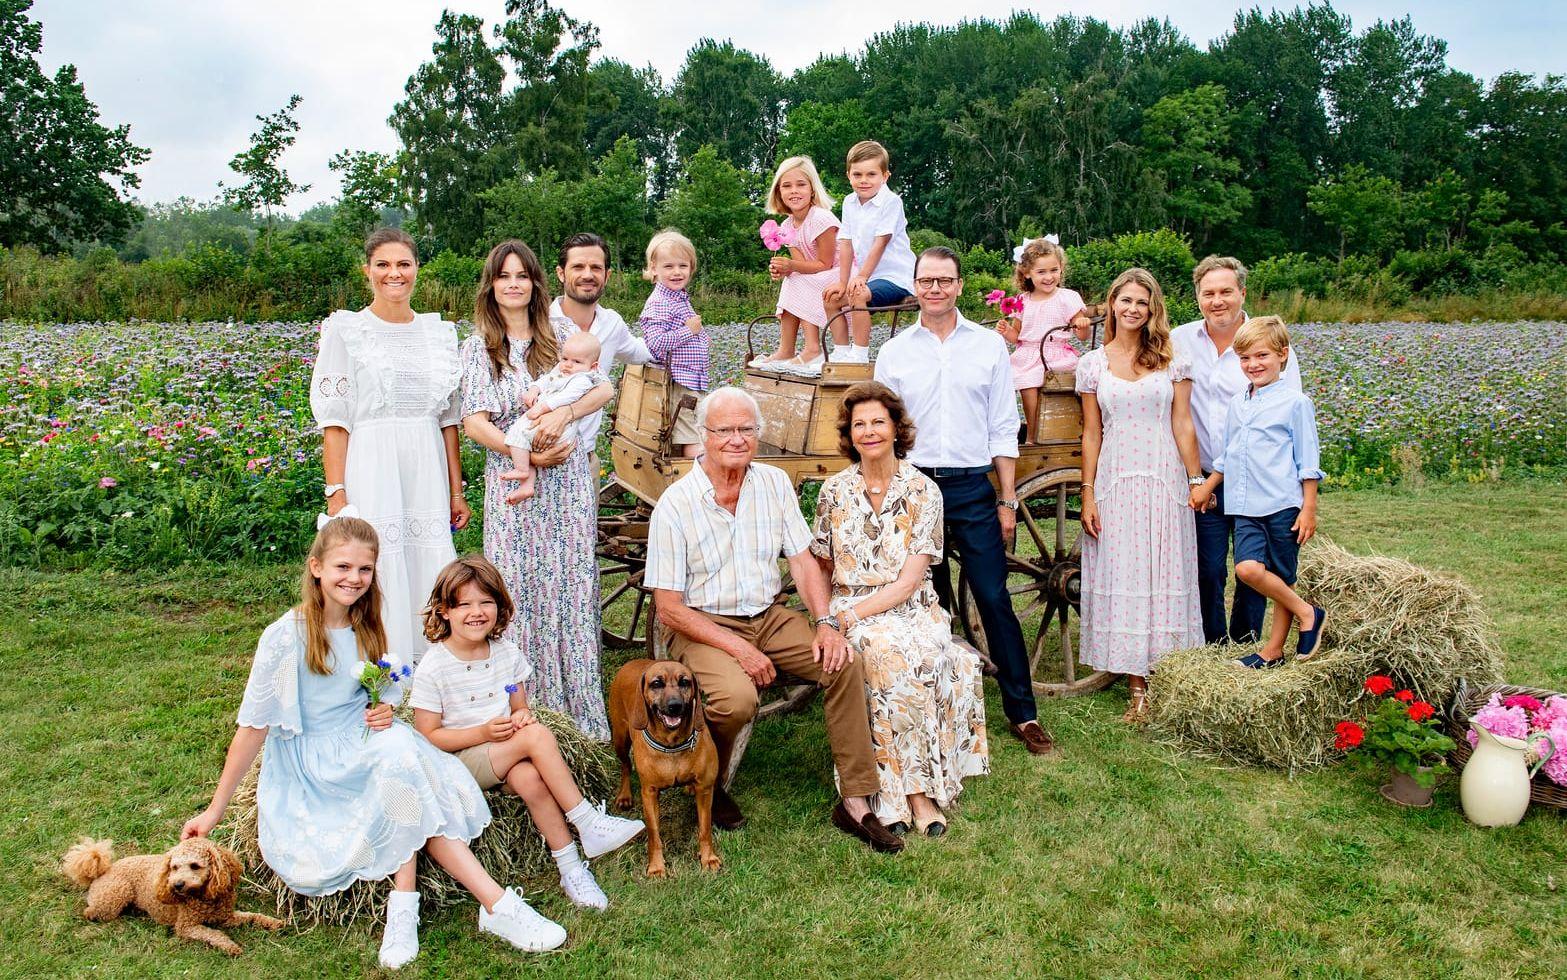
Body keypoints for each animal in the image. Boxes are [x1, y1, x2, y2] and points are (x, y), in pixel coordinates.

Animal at [62, 834, 286, 953]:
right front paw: (231, 946)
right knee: (92, 912)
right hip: (117, 893)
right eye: (174, 867)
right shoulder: (186, 926)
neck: (204, 897)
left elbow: (252, 917)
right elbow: (213, 933)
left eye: (195, 865)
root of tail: (102, 870)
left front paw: (274, 922)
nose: (176, 885)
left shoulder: (226, 916)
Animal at [607, 658, 723, 878]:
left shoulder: (705, 789)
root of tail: (631, 662)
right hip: (620, 738)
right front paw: (656, 867)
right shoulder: (649, 793)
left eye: (685, 682)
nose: (675, 706)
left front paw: (708, 858)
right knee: (625, 765)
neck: (672, 744)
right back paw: (624, 795)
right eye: (656, 684)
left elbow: (705, 828)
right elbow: (654, 834)